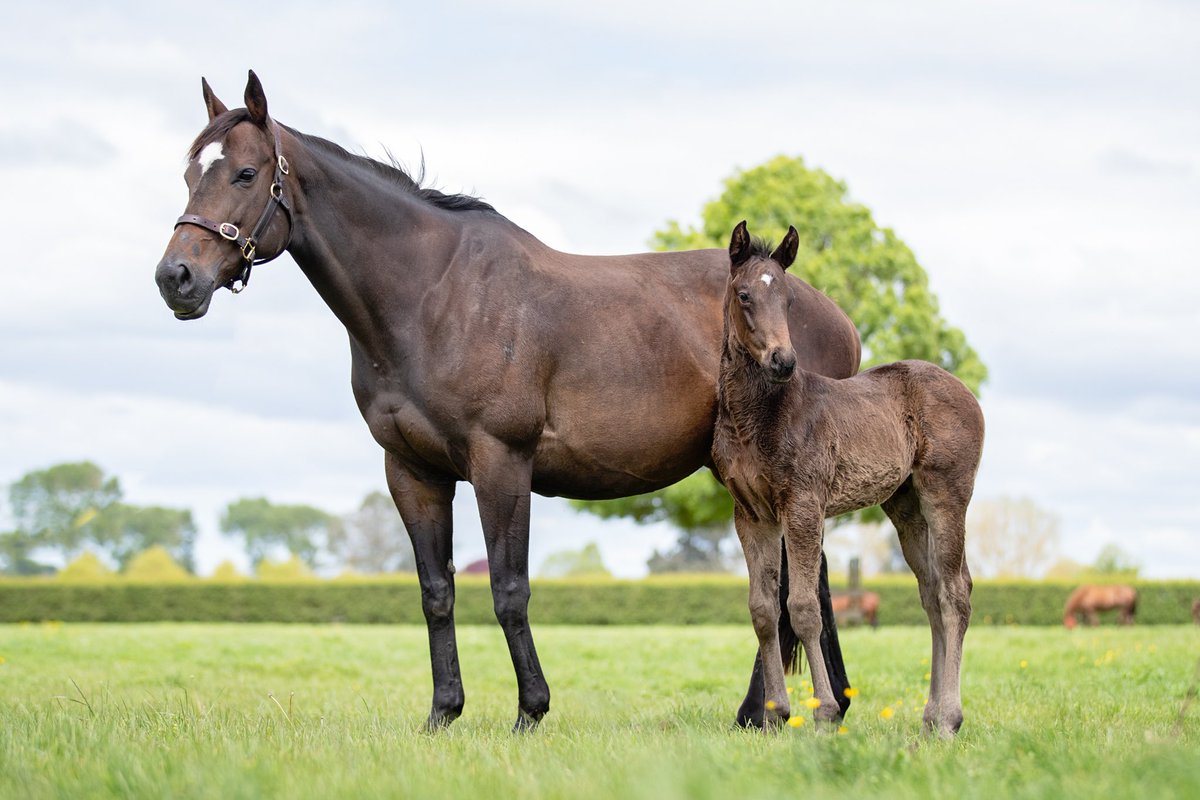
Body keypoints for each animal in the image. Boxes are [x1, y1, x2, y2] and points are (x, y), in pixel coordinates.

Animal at [153, 72, 864, 731]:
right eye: (189, 173)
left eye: (246, 172)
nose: (174, 278)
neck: (433, 296)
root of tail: (833, 314)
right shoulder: (412, 471)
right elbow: (436, 592)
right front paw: (443, 712)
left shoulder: (501, 462)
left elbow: (508, 589)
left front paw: (530, 710)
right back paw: (788, 708)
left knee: (789, 586)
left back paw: (774, 710)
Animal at [712, 221, 984, 735]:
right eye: (743, 295)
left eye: (789, 300)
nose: (783, 361)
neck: (759, 417)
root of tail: (968, 394)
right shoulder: (752, 513)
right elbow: (762, 610)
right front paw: (775, 713)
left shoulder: (803, 504)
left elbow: (802, 608)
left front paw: (824, 711)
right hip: (905, 505)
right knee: (932, 594)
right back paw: (929, 716)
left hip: (947, 494)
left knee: (956, 592)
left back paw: (948, 720)